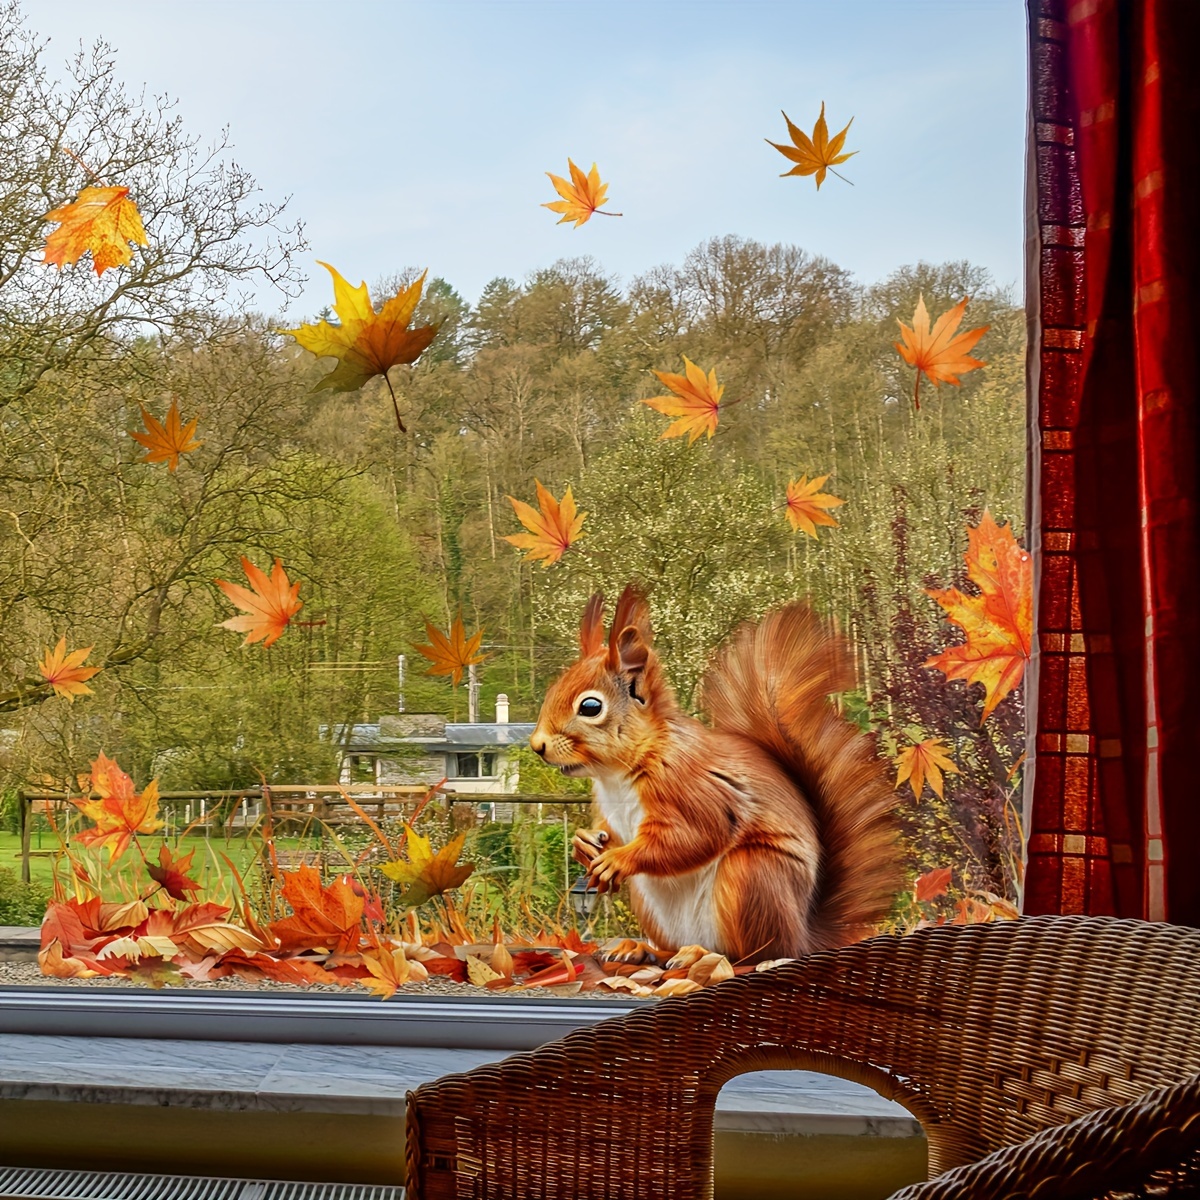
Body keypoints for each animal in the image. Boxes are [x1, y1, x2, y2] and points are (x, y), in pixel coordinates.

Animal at [528, 585, 902, 969]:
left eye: (590, 707)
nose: (536, 745)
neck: (618, 773)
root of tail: (803, 935)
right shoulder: (609, 809)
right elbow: (607, 831)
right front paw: (584, 843)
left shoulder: (691, 785)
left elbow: (695, 835)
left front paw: (617, 859)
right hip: (650, 902)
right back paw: (643, 949)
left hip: (752, 877)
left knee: (751, 953)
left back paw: (701, 954)